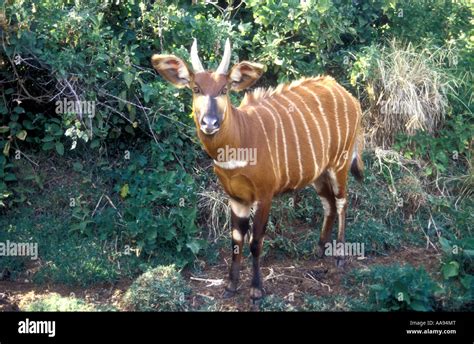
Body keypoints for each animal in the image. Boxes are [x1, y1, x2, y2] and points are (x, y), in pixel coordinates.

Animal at [152, 38, 362, 300]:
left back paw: (340, 257)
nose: (210, 122)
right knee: (329, 204)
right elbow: (235, 240)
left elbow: (255, 241)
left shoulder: (264, 195)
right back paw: (319, 250)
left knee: (342, 201)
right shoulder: (236, 198)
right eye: (196, 88)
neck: (241, 139)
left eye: (224, 89)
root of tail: (350, 96)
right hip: (318, 173)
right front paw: (230, 286)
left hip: (340, 163)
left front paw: (256, 290)